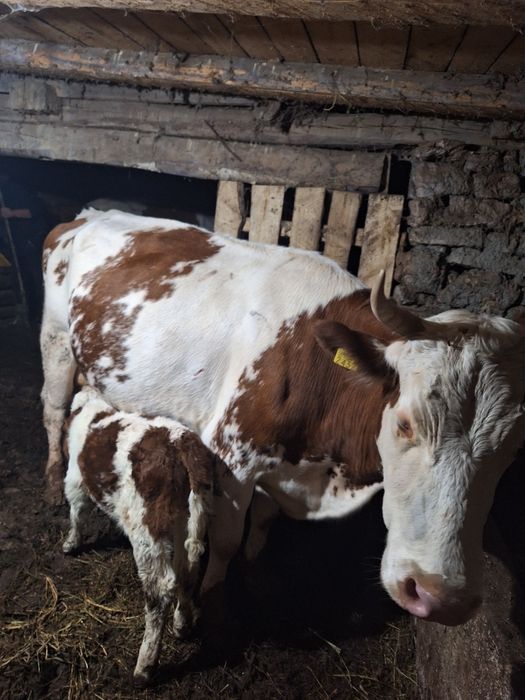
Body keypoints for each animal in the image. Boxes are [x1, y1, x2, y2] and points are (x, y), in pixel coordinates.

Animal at [41, 208, 525, 629]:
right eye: (405, 422)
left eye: (511, 452)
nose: (439, 596)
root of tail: (90, 214)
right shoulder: (232, 456)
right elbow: (225, 539)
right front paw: (213, 605)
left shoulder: (283, 467)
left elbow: (262, 524)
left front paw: (255, 576)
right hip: (56, 341)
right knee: (53, 411)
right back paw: (51, 479)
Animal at [63, 383, 214, 684]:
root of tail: (179, 442)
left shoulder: (74, 477)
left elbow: (77, 511)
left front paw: (71, 543)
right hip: (187, 517)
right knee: (188, 570)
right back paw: (182, 625)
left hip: (146, 526)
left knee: (160, 588)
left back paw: (144, 668)